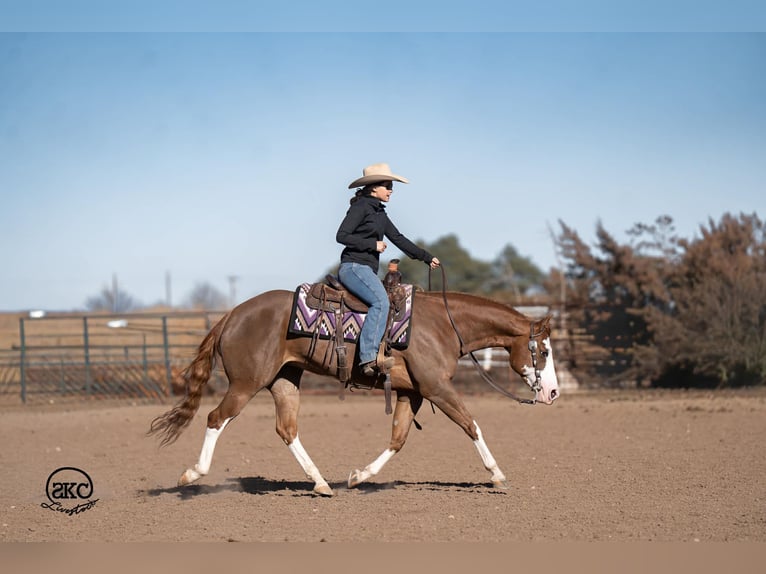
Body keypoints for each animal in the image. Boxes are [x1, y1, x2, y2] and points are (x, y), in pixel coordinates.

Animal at [148, 287, 560, 496]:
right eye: (543, 351)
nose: (553, 393)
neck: (443, 324)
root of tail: (231, 315)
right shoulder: (437, 388)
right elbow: (471, 425)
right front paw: (497, 474)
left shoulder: (412, 393)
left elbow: (398, 439)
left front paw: (358, 477)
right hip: (246, 383)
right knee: (216, 418)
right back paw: (192, 474)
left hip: (284, 380)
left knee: (287, 429)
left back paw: (320, 483)